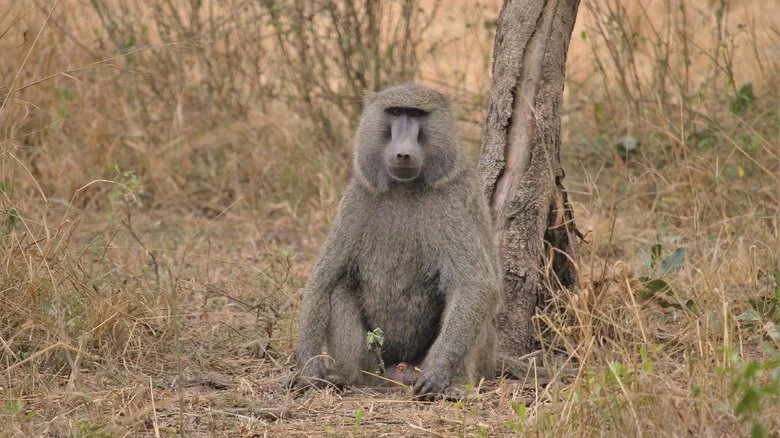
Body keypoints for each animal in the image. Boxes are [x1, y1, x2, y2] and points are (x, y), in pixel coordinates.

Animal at [286, 83, 502, 400]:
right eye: (396, 112)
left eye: (417, 115)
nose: (402, 153)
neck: (404, 188)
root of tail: (397, 371)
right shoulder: (357, 199)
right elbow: (323, 282)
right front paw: (310, 369)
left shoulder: (451, 201)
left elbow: (476, 285)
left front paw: (438, 375)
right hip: (374, 363)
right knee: (340, 289)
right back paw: (346, 377)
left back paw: (454, 385)